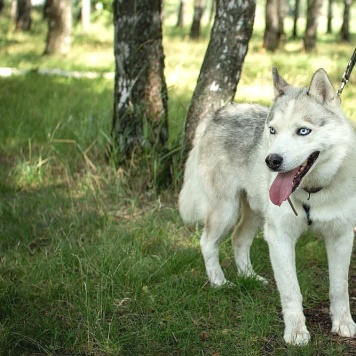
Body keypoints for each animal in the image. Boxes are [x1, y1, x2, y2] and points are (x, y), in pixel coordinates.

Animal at [179, 67, 356, 344]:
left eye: (303, 131)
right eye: (272, 131)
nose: (271, 161)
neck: (312, 192)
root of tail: (217, 114)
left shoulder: (341, 236)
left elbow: (339, 288)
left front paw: (343, 323)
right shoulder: (279, 237)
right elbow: (291, 291)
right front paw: (296, 332)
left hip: (254, 214)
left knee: (238, 239)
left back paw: (249, 277)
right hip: (226, 212)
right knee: (207, 243)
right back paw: (219, 282)